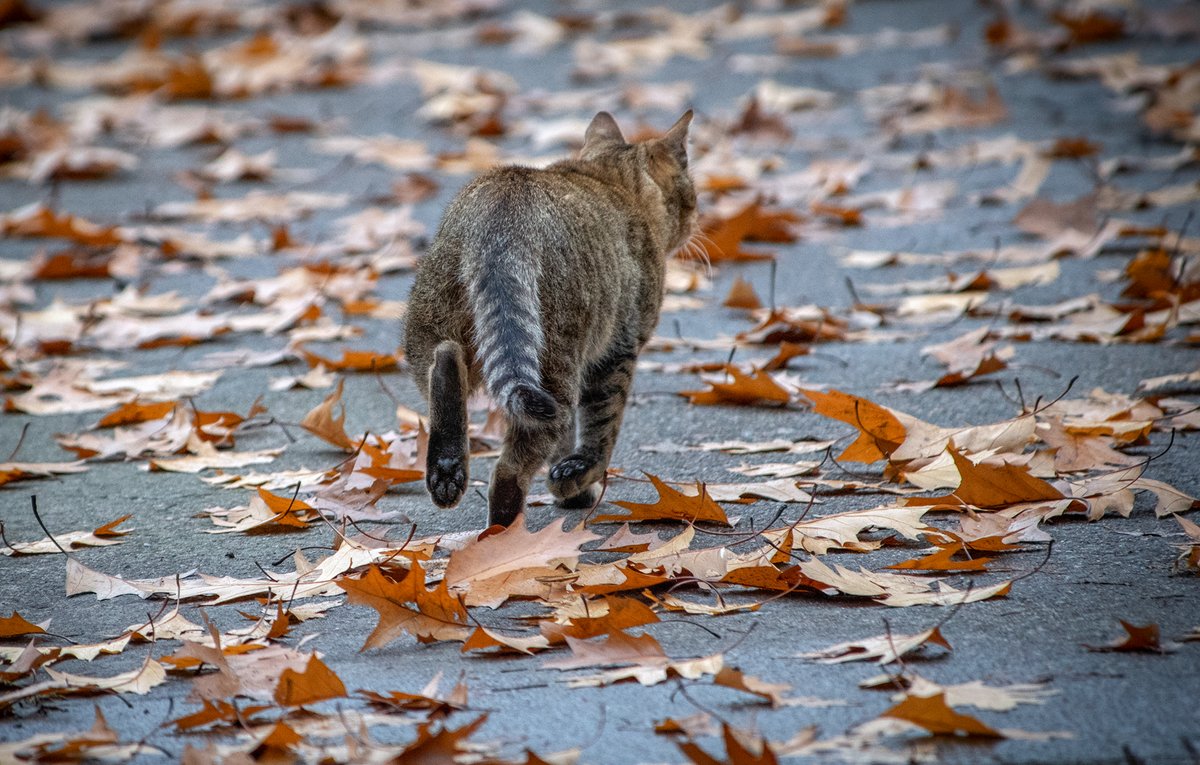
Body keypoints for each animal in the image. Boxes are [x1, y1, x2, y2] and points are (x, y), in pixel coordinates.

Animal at [408, 110, 700, 527]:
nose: (695, 221)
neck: (612, 180)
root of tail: (504, 209)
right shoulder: (618, 350)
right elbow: (601, 427)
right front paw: (577, 478)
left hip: (427, 326)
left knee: (444, 365)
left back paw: (447, 468)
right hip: (556, 361)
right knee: (512, 466)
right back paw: (503, 535)